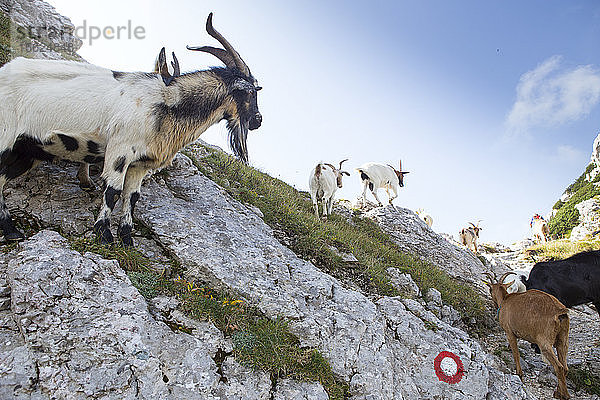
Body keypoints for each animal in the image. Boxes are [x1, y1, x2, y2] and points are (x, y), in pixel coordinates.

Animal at [0, 13, 262, 247]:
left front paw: (126, 240)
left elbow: (132, 196)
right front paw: (104, 236)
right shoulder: (120, 151)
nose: (258, 120)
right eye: (250, 91)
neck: (167, 104)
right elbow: (113, 191)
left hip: (27, 151)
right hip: (6, 138)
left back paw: (11, 232)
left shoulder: (140, 164)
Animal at [482, 272, 572, 400]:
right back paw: (558, 392)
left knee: (559, 367)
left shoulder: (510, 332)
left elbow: (516, 354)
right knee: (565, 367)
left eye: (490, 289)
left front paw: (519, 375)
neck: (505, 299)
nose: (494, 304)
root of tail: (559, 312)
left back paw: (563, 395)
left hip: (544, 342)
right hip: (563, 339)